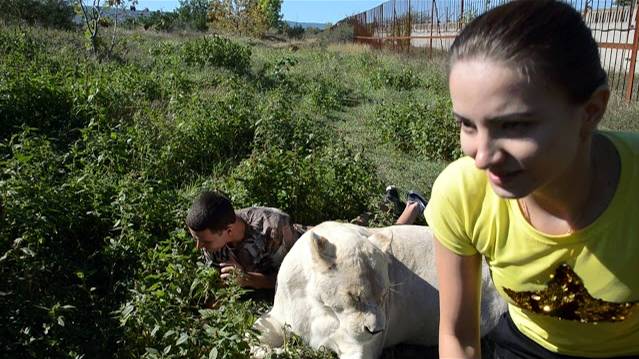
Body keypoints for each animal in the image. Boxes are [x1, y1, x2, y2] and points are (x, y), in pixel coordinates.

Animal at [252, 222, 508, 359]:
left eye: (384, 295)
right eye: (354, 296)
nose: (376, 330)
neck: (321, 308)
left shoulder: (361, 348)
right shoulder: (284, 311)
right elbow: (256, 333)